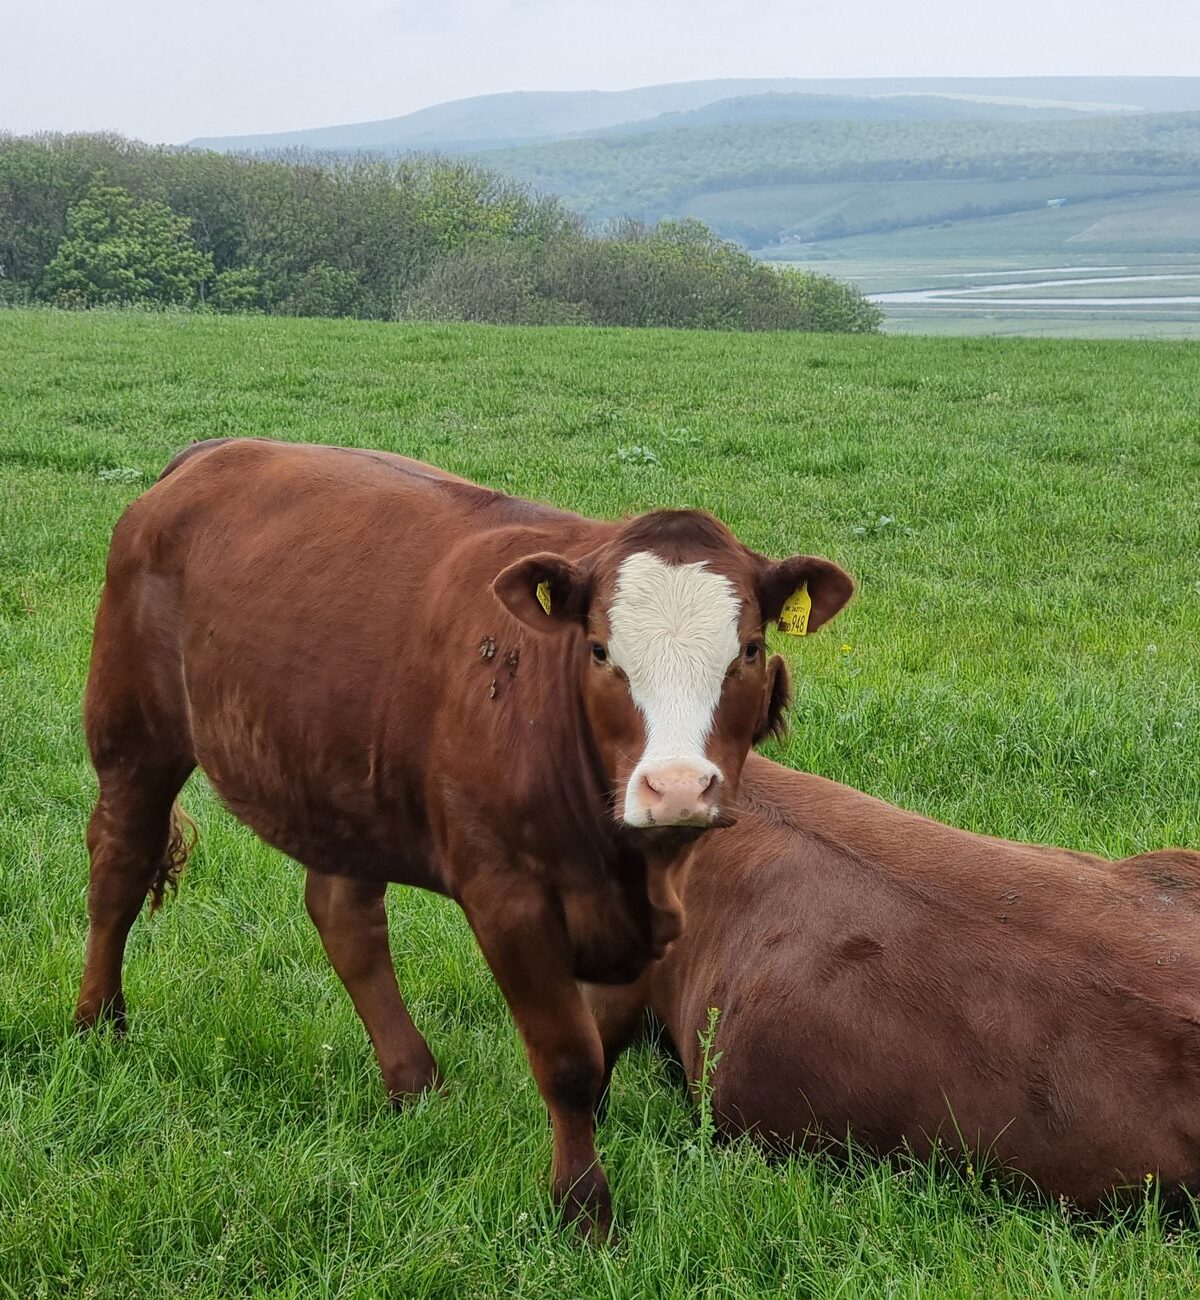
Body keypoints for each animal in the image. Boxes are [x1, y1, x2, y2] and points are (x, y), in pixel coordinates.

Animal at [75, 437, 853, 1236]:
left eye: (750, 649)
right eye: (601, 651)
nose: (674, 787)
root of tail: (214, 450)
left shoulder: (644, 914)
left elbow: (604, 1037)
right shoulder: (507, 896)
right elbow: (568, 1060)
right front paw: (582, 1207)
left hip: (340, 775)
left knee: (345, 919)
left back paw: (414, 1084)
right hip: (133, 734)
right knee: (118, 871)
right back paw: (98, 1025)